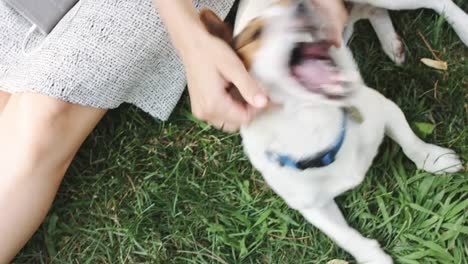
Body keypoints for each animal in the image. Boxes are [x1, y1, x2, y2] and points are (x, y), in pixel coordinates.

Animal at [200, 1, 464, 262]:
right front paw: (372, 257)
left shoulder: (384, 109)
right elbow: (344, 235)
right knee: (374, 12)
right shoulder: (312, 206)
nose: (302, 5)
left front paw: (433, 159)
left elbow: (411, 144)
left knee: (436, 3)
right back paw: (390, 42)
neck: (310, 123)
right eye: (256, 34)